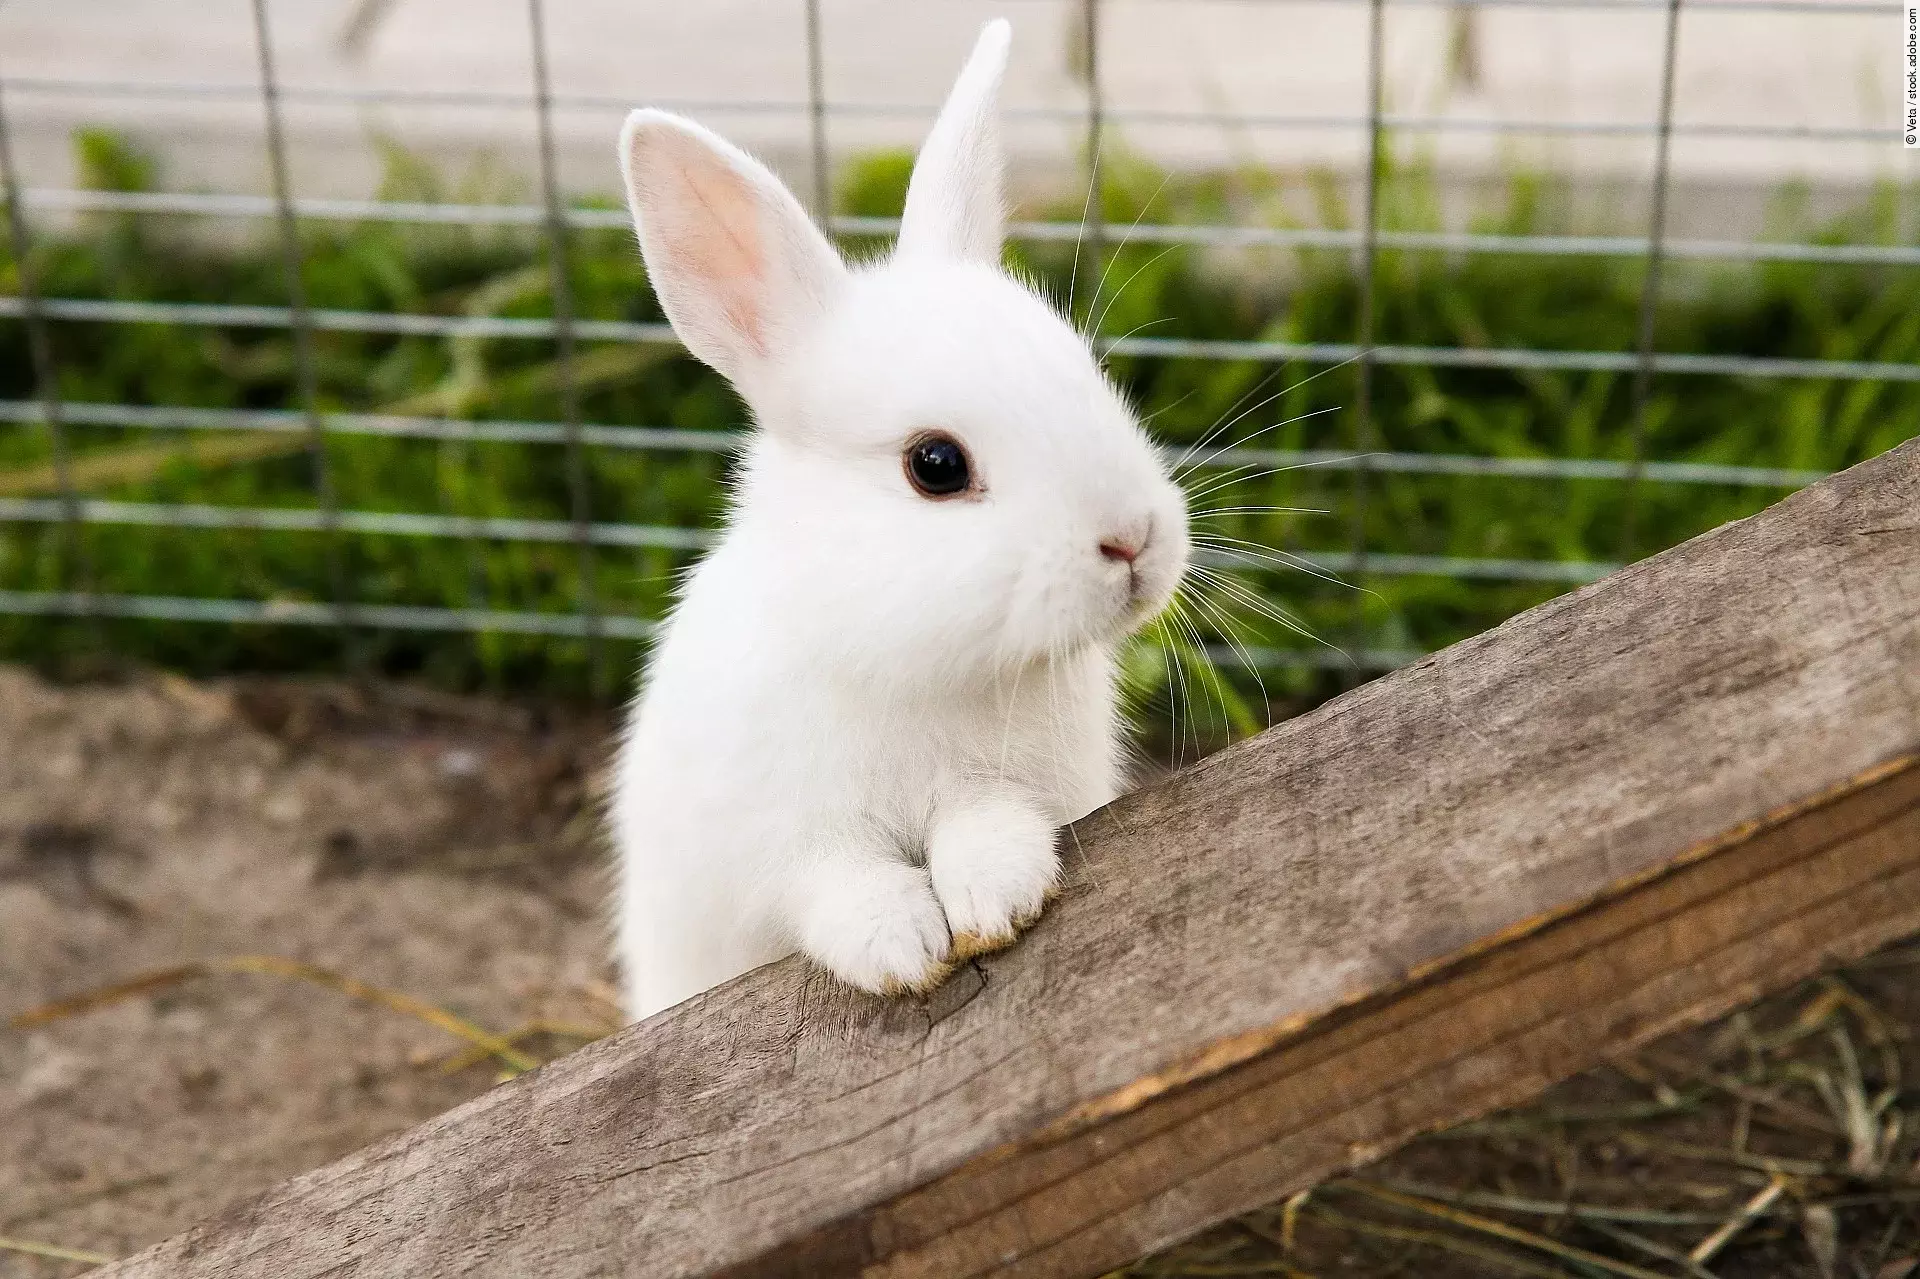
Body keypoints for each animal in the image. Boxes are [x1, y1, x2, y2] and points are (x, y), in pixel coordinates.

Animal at [609, 18, 1191, 1022]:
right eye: (936, 465)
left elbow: (988, 824)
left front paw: (996, 897)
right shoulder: (781, 847)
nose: (1134, 541)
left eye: (1088, 372)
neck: (910, 663)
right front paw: (903, 946)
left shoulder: (1016, 785)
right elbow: (837, 886)